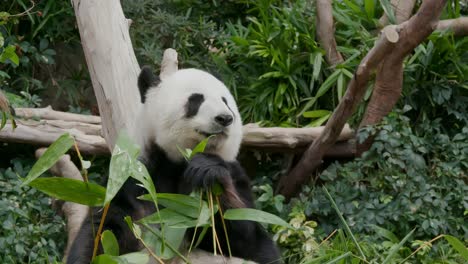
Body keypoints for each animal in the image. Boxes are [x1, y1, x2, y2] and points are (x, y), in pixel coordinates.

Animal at [67, 66, 280, 264]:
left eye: (225, 101)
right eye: (196, 99)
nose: (225, 118)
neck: (177, 162)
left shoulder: (235, 175)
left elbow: (246, 237)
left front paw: (207, 170)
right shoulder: (134, 179)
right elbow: (104, 232)